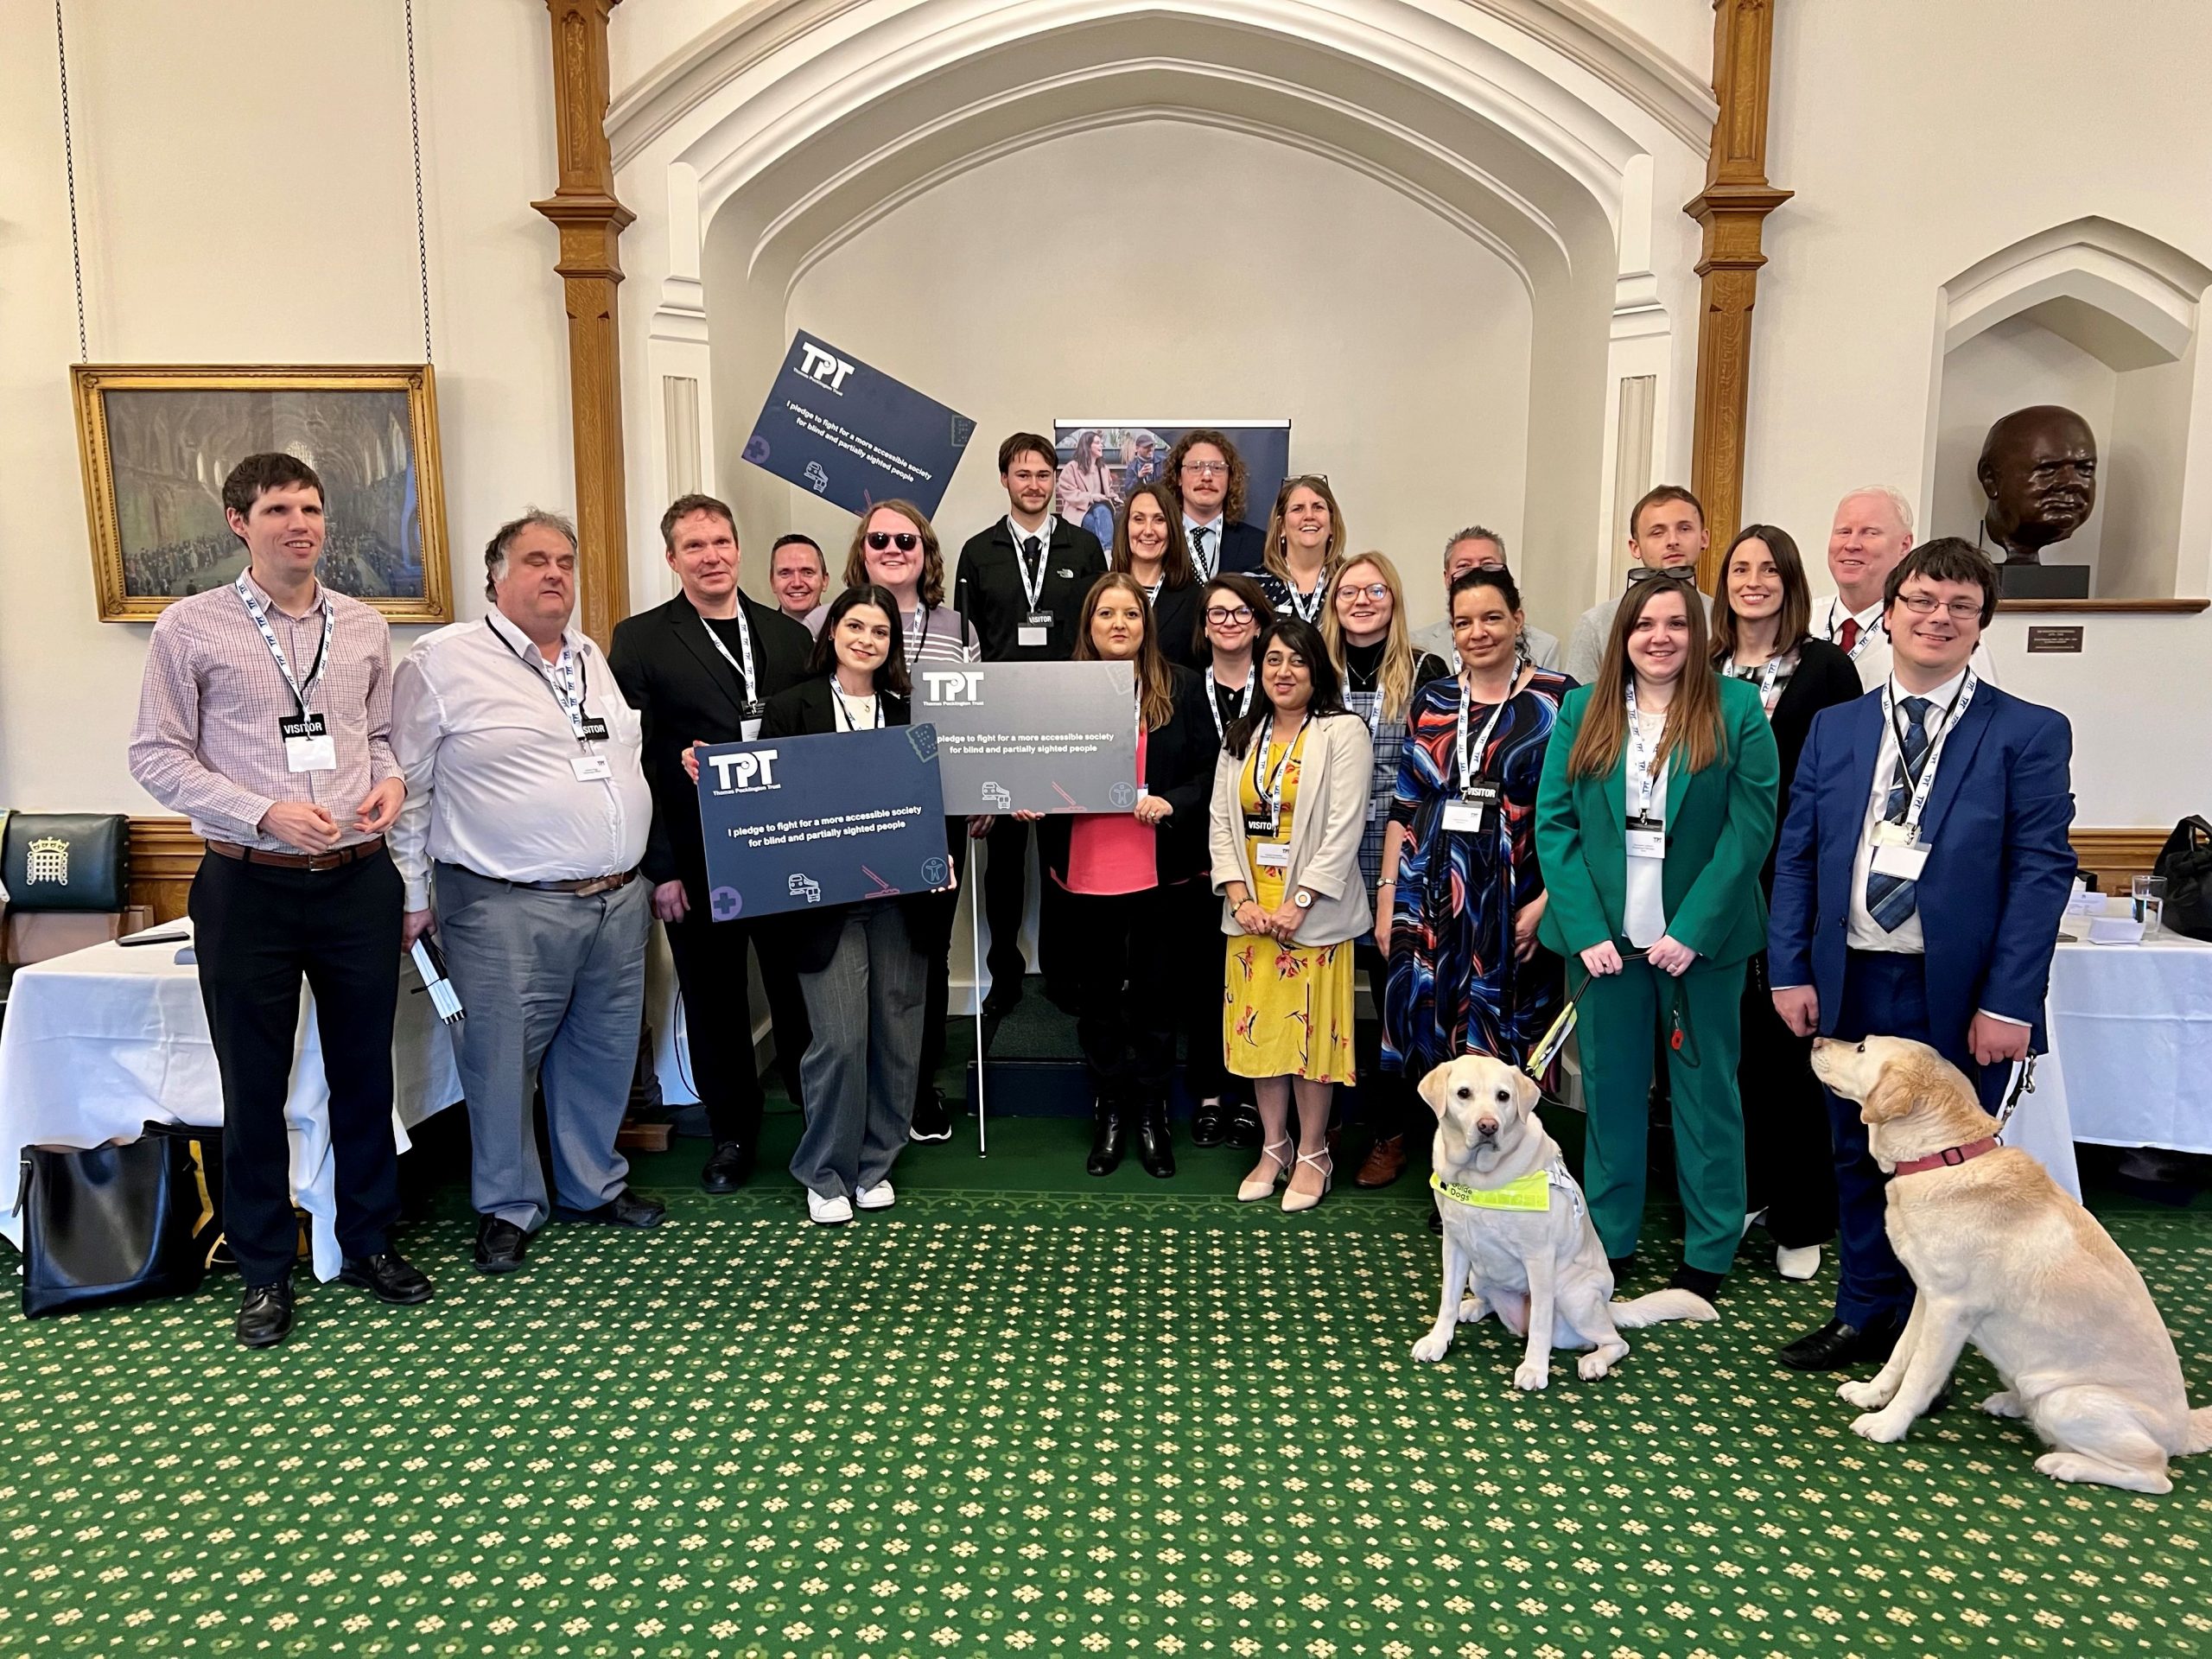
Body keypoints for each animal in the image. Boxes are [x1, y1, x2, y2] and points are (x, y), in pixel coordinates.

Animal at [1415, 1065, 1725, 1389]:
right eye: (1464, 1093)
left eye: (1503, 1096)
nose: (1488, 1126)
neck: (1477, 1178)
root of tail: (1606, 1306)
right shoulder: (1454, 1245)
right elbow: (1447, 1300)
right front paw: (1437, 1341)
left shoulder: (1539, 1258)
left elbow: (1540, 1323)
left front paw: (1534, 1369)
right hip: (1478, 1274)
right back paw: (1472, 1306)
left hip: (1573, 1296)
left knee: (1616, 1342)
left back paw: (1594, 1363)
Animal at [1814, 1039, 2212, 1495]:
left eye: (1862, 1047)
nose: (1817, 1040)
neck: (1945, 1158)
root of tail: (2184, 1430)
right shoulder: (1926, 1296)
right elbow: (1899, 1355)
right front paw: (1870, 1395)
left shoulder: (1949, 1311)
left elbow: (1919, 1376)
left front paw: (1886, 1424)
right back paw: (2010, 1403)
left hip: (2069, 1401)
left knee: (2153, 1474)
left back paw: (2065, 1463)